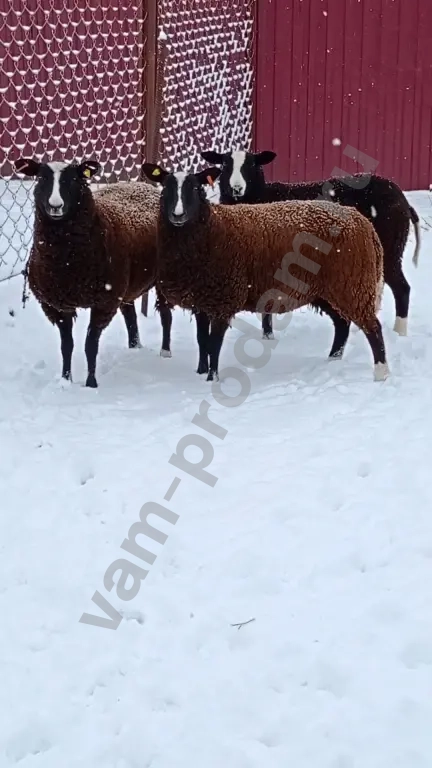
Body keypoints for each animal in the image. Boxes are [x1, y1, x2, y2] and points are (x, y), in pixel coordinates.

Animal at [15, 158, 173, 388]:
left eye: (74, 179)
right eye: (41, 177)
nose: (55, 206)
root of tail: (144, 185)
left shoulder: (103, 302)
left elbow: (90, 345)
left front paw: (91, 383)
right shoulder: (57, 304)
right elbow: (67, 345)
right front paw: (66, 380)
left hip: (162, 278)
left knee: (166, 315)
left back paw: (165, 351)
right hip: (125, 287)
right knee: (131, 316)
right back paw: (135, 346)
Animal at [142, 162, 389, 383]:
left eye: (195, 188)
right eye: (165, 188)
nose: (178, 215)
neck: (212, 229)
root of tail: (363, 222)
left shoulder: (224, 297)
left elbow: (214, 343)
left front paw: (212, 379)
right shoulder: (202, 299)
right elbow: (202, 341)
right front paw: (201, 372)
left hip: (353, 283)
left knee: (372, 327)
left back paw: (381, 372)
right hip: (328, 289)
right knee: (342, 324)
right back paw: (332, 360)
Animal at [201, 149, 420, 353]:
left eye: (251, 165)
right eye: (225, 165)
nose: (236, 188)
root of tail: (403, 200)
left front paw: (268, 336)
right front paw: (267, 336)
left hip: (390, 249)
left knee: (402, 288)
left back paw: (399, 332)